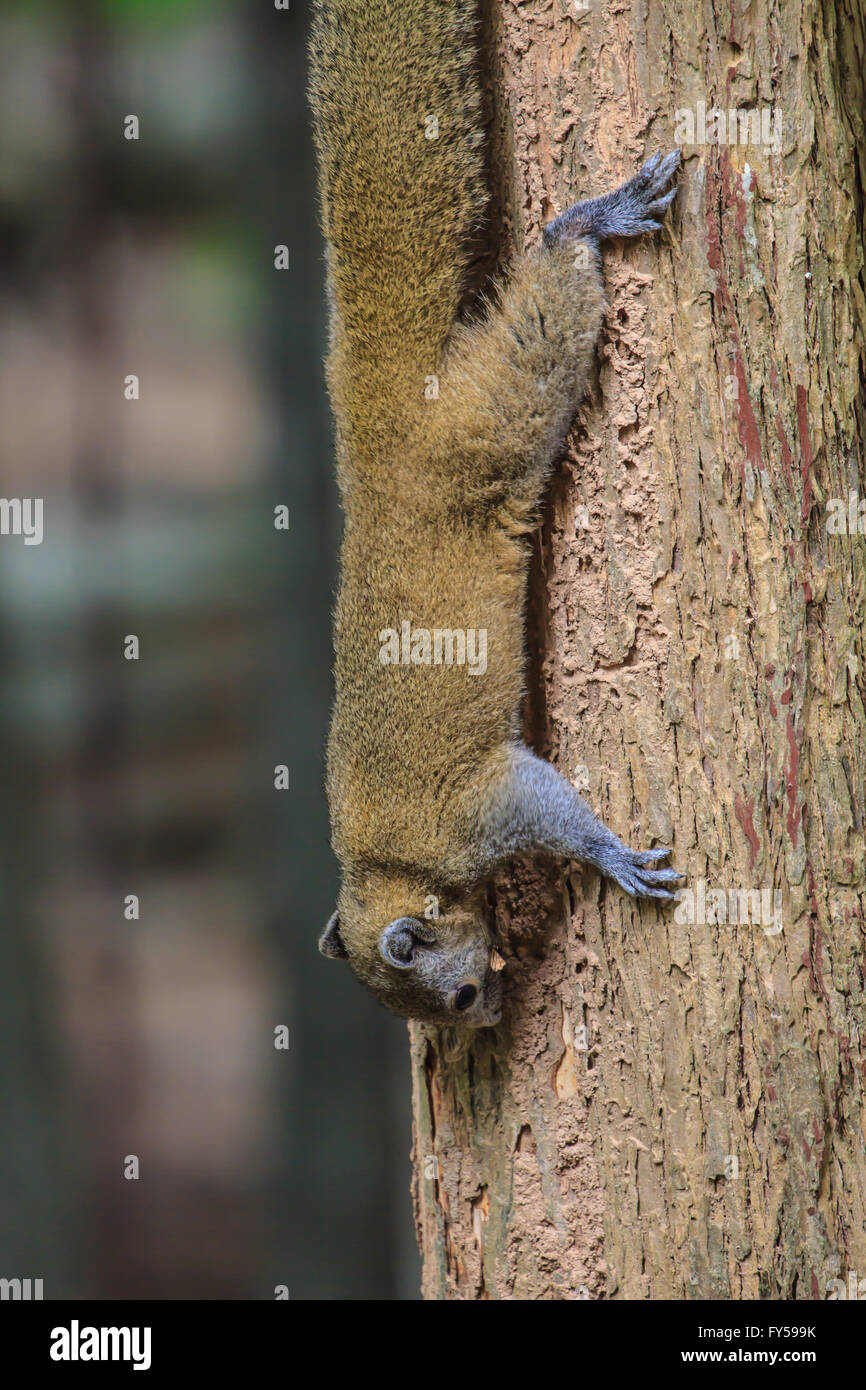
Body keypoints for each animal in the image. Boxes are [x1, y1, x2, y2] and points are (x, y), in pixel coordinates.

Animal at [311, 0, 683, 1023]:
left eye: (460, 992)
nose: (488, 1022)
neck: (390, 866)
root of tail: (380, 430)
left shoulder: (474, 811)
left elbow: (542, 804)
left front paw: (609, 856)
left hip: (486, 428)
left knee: (546, 312)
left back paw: (588, 221)